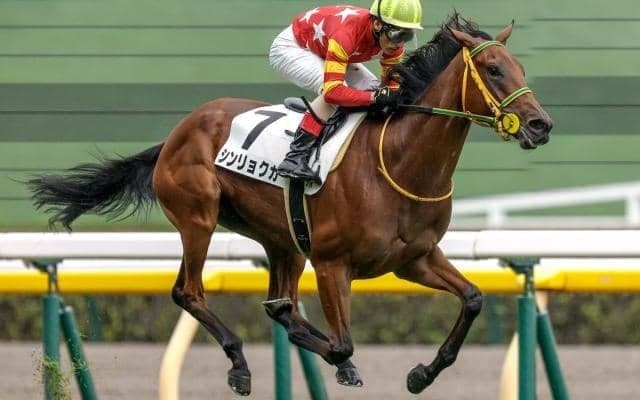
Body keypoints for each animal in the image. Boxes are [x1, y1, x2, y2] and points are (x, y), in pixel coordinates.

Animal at [27, 14, 552, 396]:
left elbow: (473, 299)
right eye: (494, 70)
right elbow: (340, 343)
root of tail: (176, 133)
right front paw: (340, 360)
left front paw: (421, 373)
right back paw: (239, 364)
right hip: (199, 217)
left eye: (522, 69)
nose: (540, 125)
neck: (401, 162)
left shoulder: (414, 259)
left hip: (283, 240)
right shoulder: (332, 263)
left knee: (274, 299)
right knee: (189, 292)